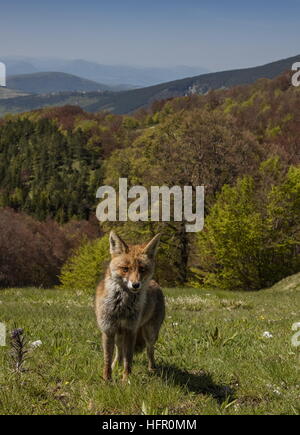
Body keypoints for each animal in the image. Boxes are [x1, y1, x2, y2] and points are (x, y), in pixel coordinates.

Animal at [95, 232, 164, 382]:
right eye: (125, 269)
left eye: (142, 269)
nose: (136, 285)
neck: (121, 306)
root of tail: (156, 283)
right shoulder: (108, 330)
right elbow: (107, 359)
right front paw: (107, 380)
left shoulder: (130, 330)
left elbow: (129, 360)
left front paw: (126, 380)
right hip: (118, 336)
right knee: (119, 353)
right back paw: (116, 366)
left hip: (150, 333)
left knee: (150, 351)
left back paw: (152, 369)